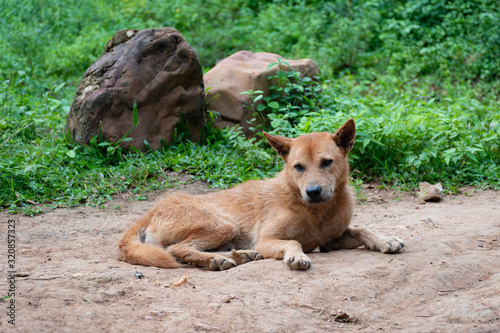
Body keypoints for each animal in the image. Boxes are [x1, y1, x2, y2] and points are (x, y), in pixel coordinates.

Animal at [119, 119, 404, 270]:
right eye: (298, 167)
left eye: (326, 162)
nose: (312, 192)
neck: (316, 212)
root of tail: (150, 211)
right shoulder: (267, 240)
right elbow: (293, 241)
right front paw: (297, 256)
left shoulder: (330, 241)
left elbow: (361, 229)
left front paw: (385, 240)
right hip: (224, 224)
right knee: (177, 249)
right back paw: (216, 260)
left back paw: (238, 256)